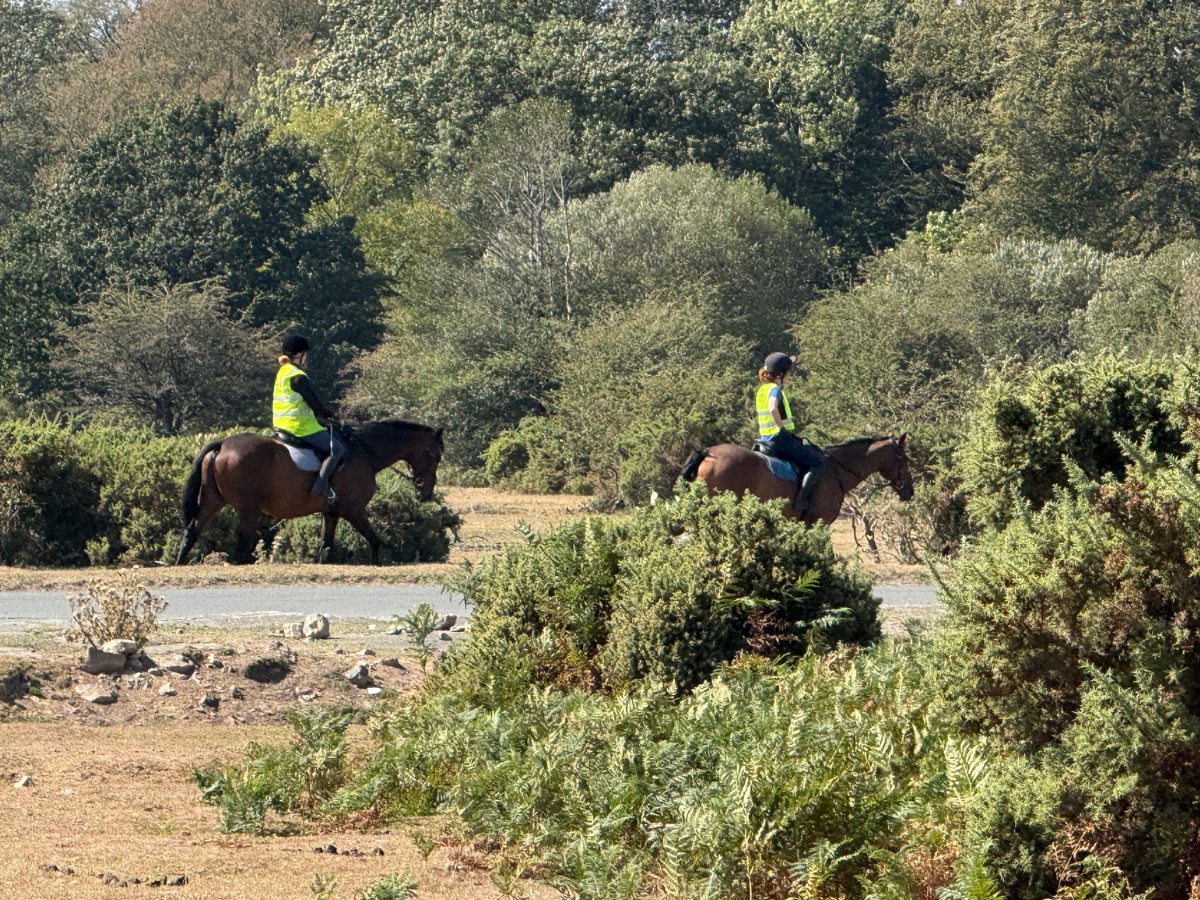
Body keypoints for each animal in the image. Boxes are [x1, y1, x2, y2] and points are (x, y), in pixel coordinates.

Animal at [175, 421, 444, 566]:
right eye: (435, 455)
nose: (426, 492)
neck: (365, 452)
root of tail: (222, 444)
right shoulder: (353, 509)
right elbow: (374, 539)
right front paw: (377, 563)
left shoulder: (332, 512)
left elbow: (326, 546)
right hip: (247, 509)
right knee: (243, 539)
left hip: (213, 500)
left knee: (192, 530)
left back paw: (180, 562)